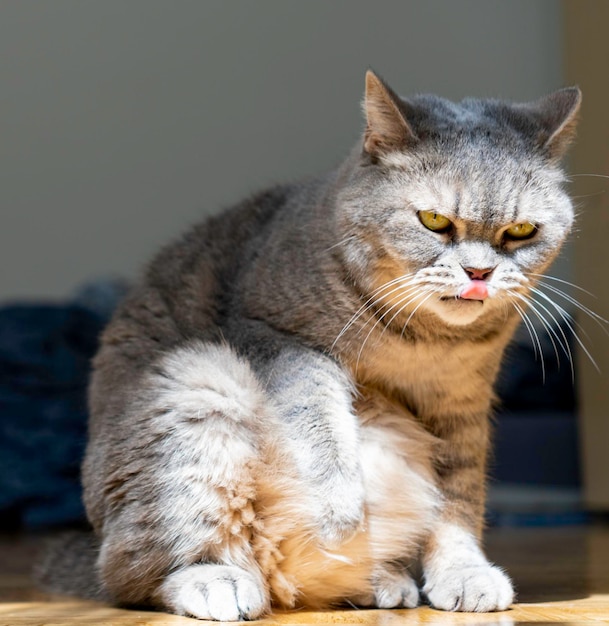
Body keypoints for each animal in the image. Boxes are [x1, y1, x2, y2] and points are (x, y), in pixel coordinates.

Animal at [36, 70, 580, 616]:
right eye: (434, 221)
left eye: (521, 230)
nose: (479, 273)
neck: (424, 341)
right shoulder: (278, 340)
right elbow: (319, 425)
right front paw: (339, 509)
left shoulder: (459, 407)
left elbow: (459, 500)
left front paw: (464, 571)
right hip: (196, 387)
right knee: (138, 574)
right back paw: (217, 580)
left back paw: (381, 582)